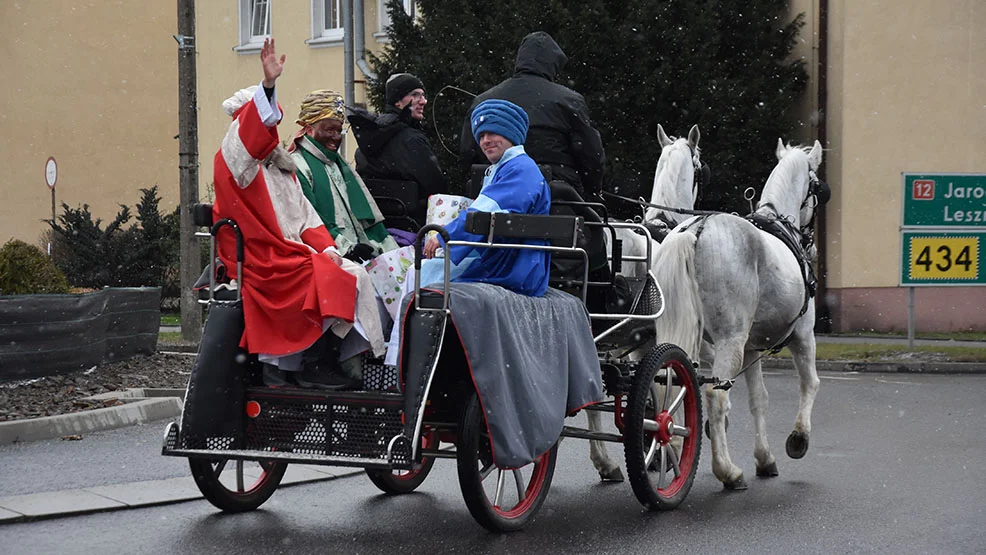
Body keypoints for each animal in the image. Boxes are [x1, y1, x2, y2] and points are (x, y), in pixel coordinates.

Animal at [652, 140, 824, 490]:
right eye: (818, 187)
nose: (812, 246)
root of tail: (694, 230)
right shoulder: (802, 334)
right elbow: (810, 383)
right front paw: (799, 437)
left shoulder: (751, 347)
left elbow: (759, 398)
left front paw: (764, 457)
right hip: (729, 339)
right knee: (713, 395)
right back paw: (727, 471)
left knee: (669, 386)